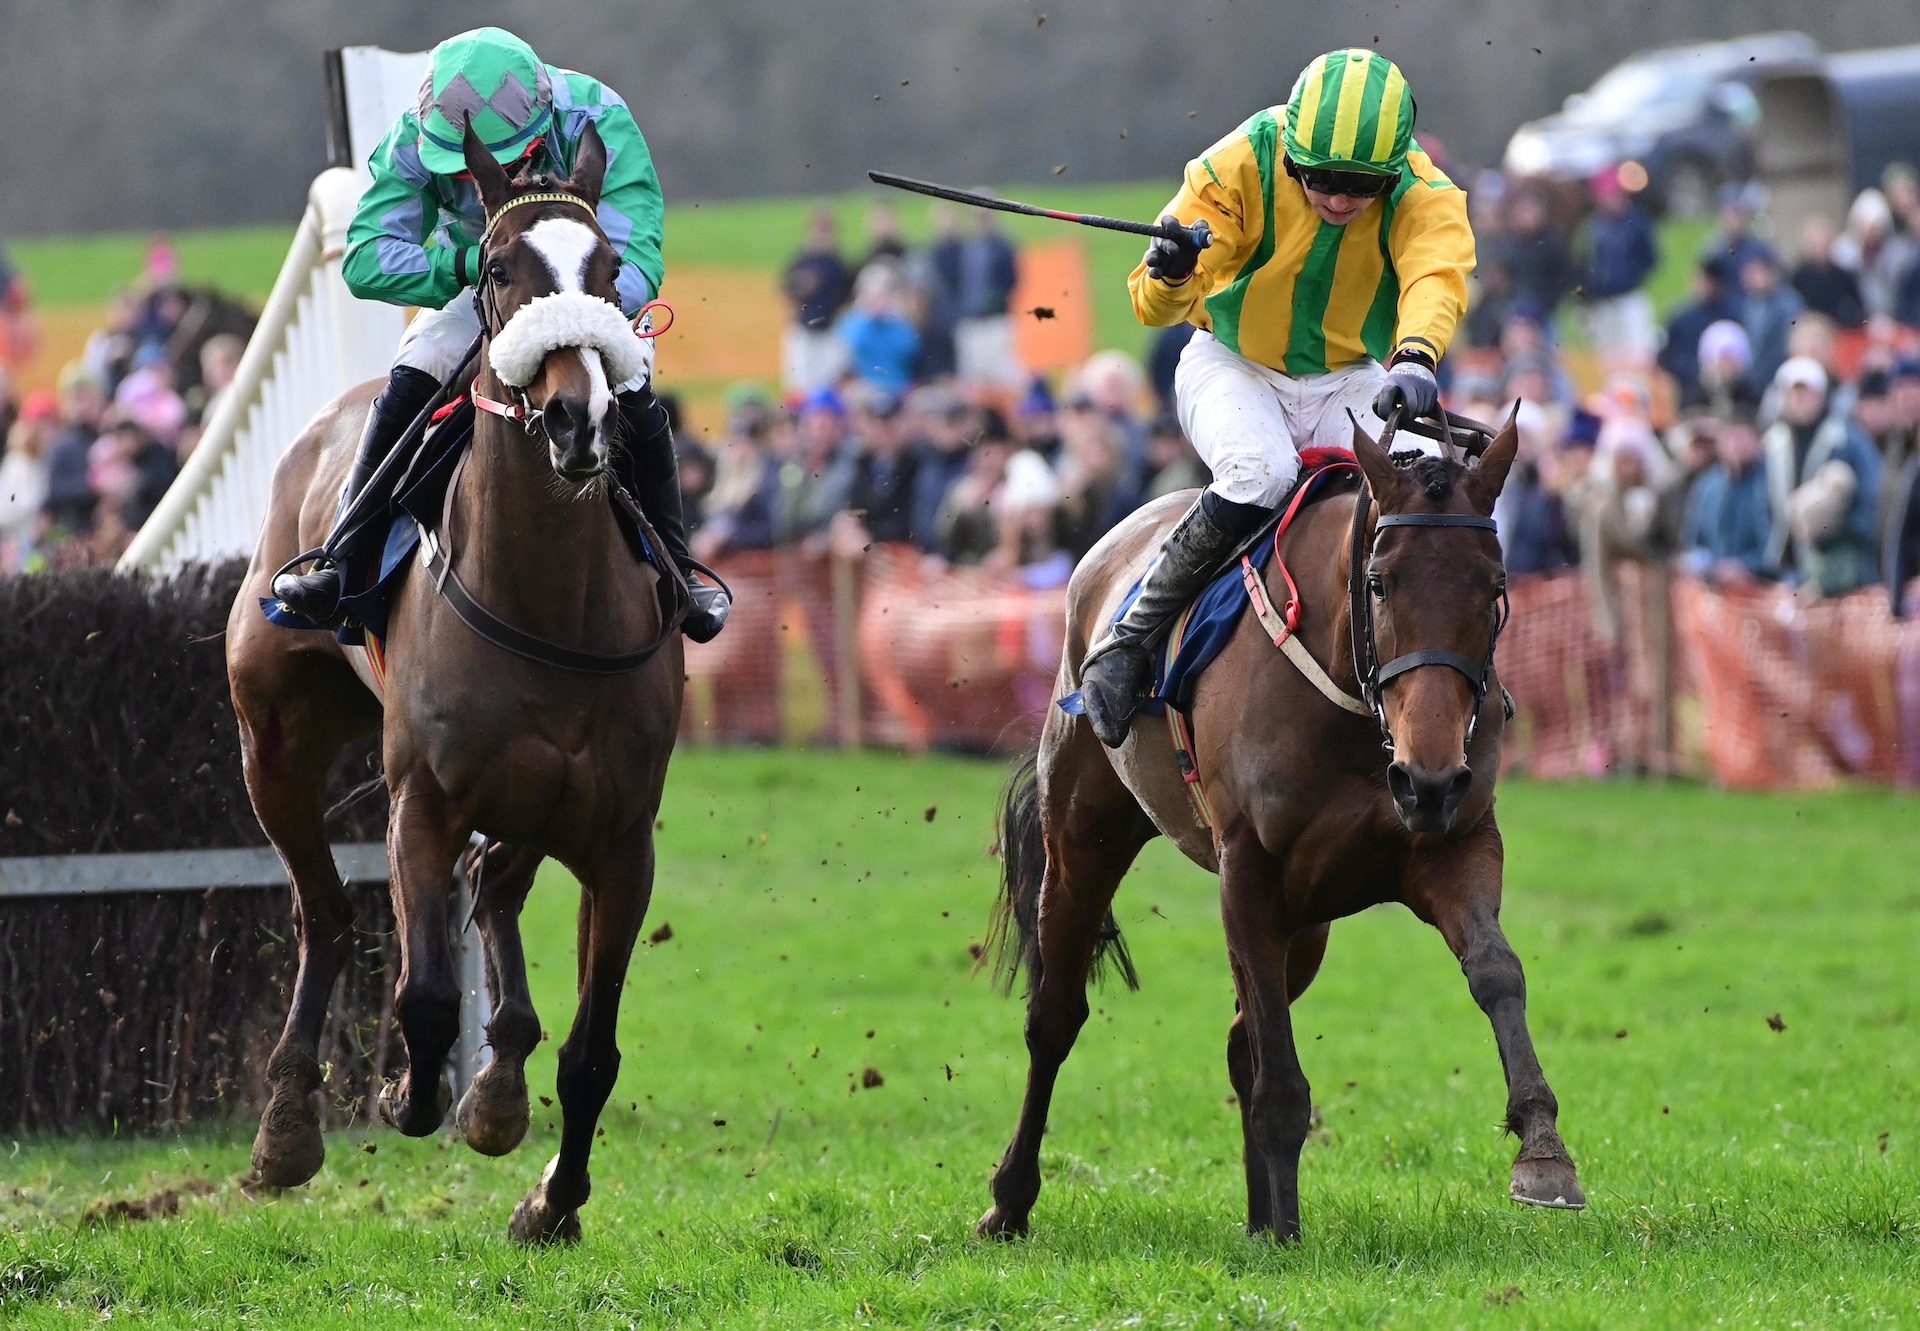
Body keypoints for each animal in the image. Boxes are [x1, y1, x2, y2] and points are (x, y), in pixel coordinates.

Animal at [228, 126, 687, 1244]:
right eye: (497, 267)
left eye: (610, 269)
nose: (576, 419)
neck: (549, 600)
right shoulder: (421, 803)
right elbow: (426, 995)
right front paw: (408, 1089)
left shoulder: (620, 837)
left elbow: (593, 1049)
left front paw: (551, 1198)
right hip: (273, 741)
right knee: (325, 913)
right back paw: (288, 1125)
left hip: (534, 803)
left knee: (492, 891)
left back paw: (498, 1086)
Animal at [983, 411, 1582, 1244]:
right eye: (1379, 582)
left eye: (1494, 587)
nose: (1428, 778)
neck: (1360, 715)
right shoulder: (1248, 873)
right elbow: (1279, 1069)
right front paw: (1287, 1221)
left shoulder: (1453, 845)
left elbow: (1497, 971)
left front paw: (1543, 1150)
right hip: (1083, 837)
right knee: (1055, 1015)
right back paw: (1010, 1198)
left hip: (1309, 916)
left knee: (1242, 1038)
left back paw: (1264, 1216)